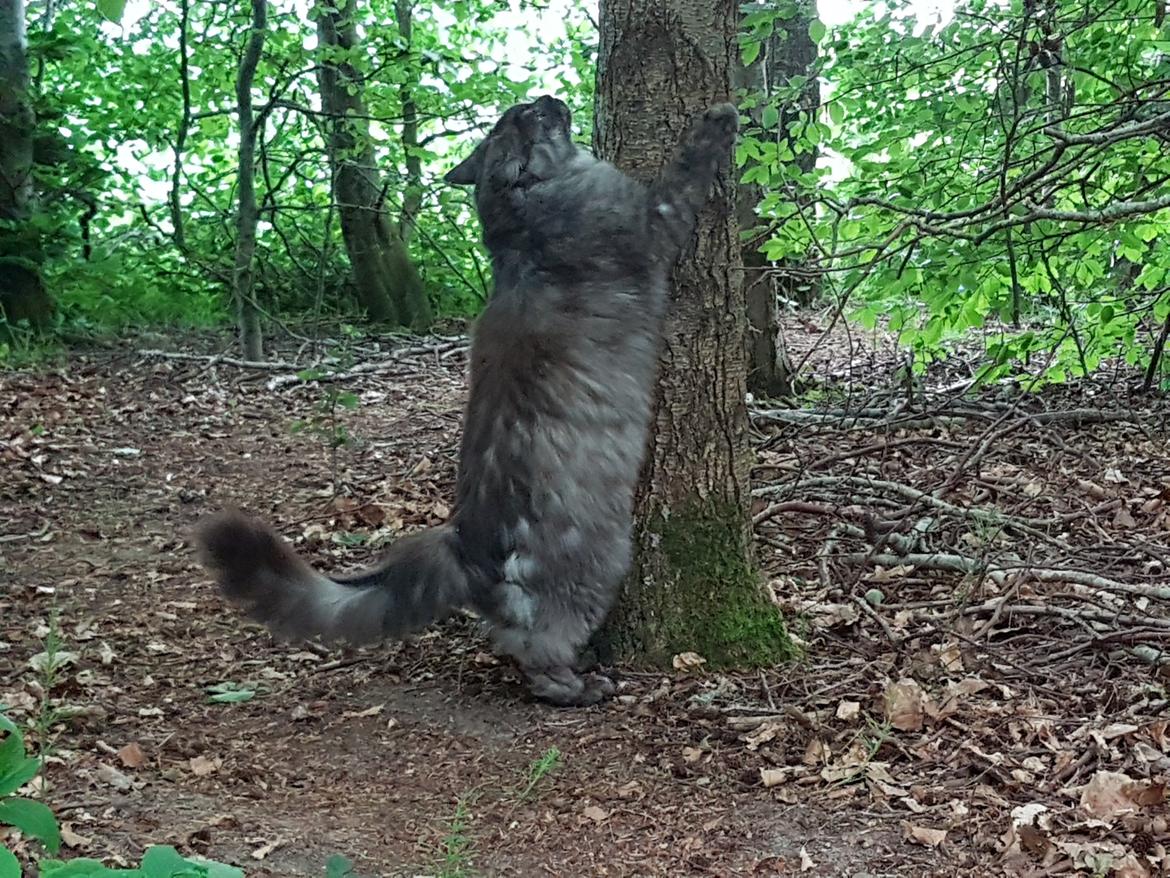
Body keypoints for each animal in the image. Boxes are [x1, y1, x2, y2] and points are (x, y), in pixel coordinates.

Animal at [195, 95, 734, 707]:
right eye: (531, 113)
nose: (549, 97)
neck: (521, 220)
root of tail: (463, 547)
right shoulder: (652, 221)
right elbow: (686, 170)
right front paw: (720, 123)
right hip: (598, 564)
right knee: (536, 650)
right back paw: (580, 686)